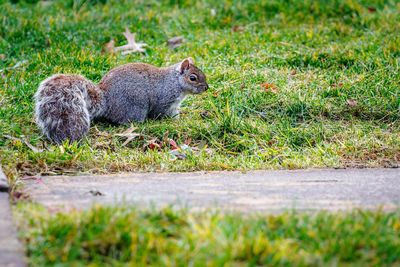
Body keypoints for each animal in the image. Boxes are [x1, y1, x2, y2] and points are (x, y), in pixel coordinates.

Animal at [34, 57, 208, 143]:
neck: (175, 82)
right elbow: (162, 113)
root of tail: (106, 100)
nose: (206, 87)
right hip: (135, 108)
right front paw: (174, 121)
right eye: (193, 78)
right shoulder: (164, 100)